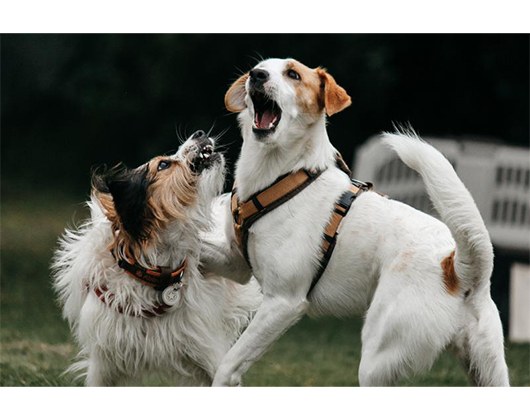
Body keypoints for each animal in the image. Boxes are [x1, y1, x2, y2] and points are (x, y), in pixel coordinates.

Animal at [201, 57, 508, 386]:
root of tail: (457, 267)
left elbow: (229, 364)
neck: (284, 176)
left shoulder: (283, 302)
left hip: (376, 358)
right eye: (258, 68)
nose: (256, 76)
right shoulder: (236, 263)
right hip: (487, 369)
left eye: (293, 74)